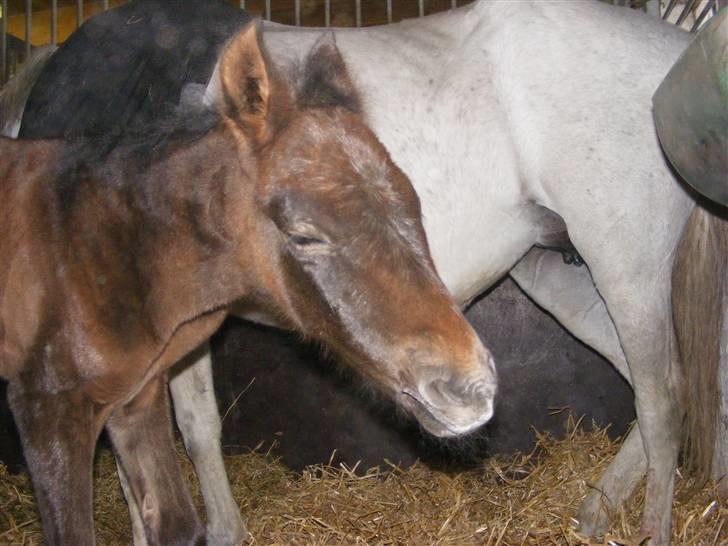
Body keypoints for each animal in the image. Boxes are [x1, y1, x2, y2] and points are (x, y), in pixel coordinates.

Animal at [5, 1, 728, 544]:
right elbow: (178, 435)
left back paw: (655, 527)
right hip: (558, 275)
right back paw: (601, 508)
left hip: (626, 270)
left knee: (664, 398)